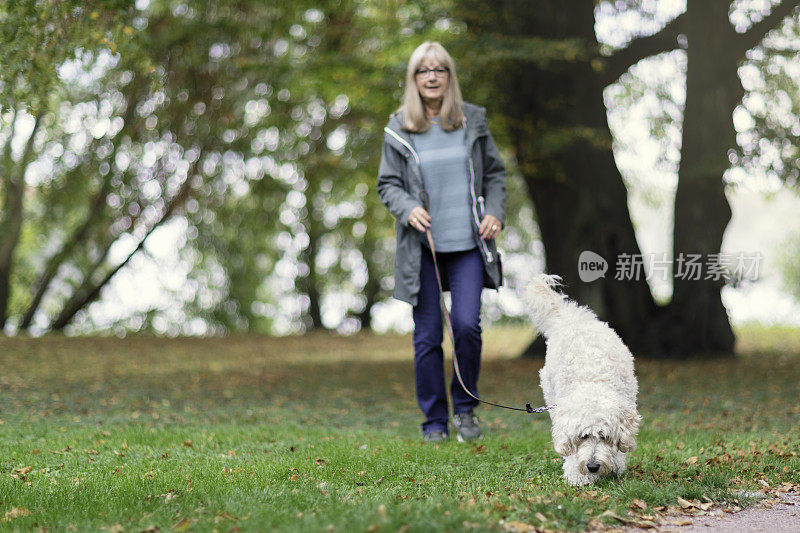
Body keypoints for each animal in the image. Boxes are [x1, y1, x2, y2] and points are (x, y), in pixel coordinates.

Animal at [528, 274, 640, 486]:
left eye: (604, 436)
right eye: (583, 436)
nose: (592, 466)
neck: (593, 382)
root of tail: (571, 318)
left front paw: (616, 463)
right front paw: (578, 475)